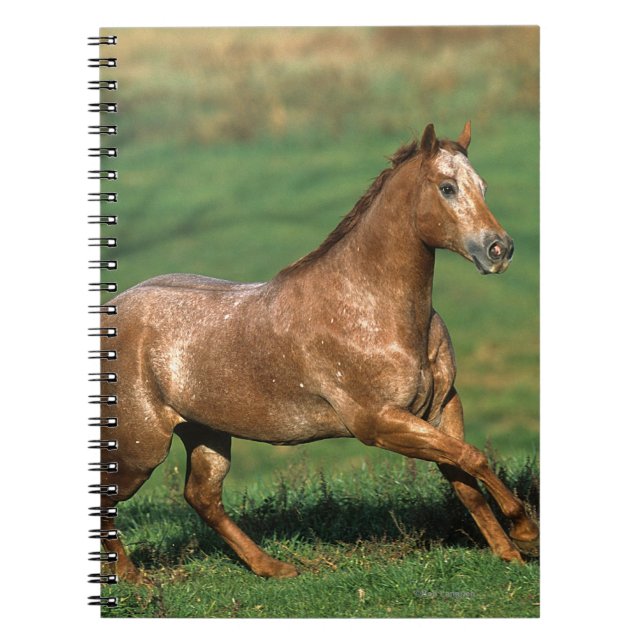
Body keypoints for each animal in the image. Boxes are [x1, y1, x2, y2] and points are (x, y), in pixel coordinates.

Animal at [99, 122, 539, 582]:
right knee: (111, 497)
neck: (369, 307)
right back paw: (134, 579)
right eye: (447, 187)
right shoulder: (379, 423)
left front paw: (510, 552)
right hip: (141, 447)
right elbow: (473, 459)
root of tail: (112, 310)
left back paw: (273, 567)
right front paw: (527, 532)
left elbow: (466, 476)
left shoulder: (441, 407)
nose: (499, 250)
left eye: (483, 186)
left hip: (206, 433)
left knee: (202, 496)